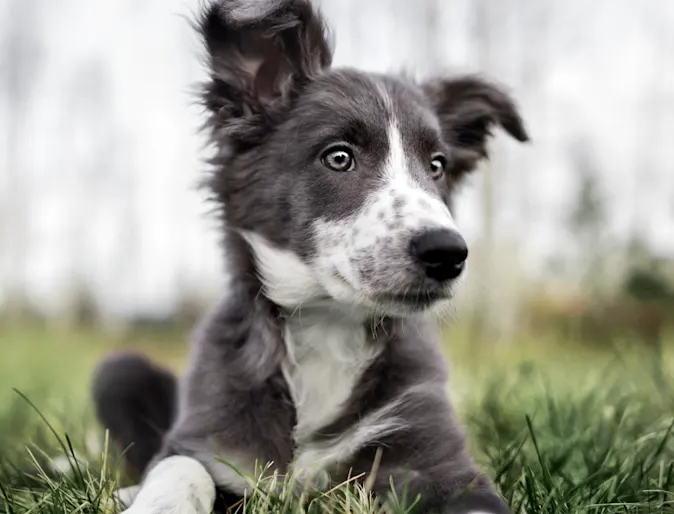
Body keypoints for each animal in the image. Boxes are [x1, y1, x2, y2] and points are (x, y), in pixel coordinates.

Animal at [92, 2, 528, 510]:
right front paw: (155, 500)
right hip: (118, 371)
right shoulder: (210, 438)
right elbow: (179, 467)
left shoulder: (436, 455)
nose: (447, 253)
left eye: (437, 166)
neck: (327, 326)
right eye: (338, 157)